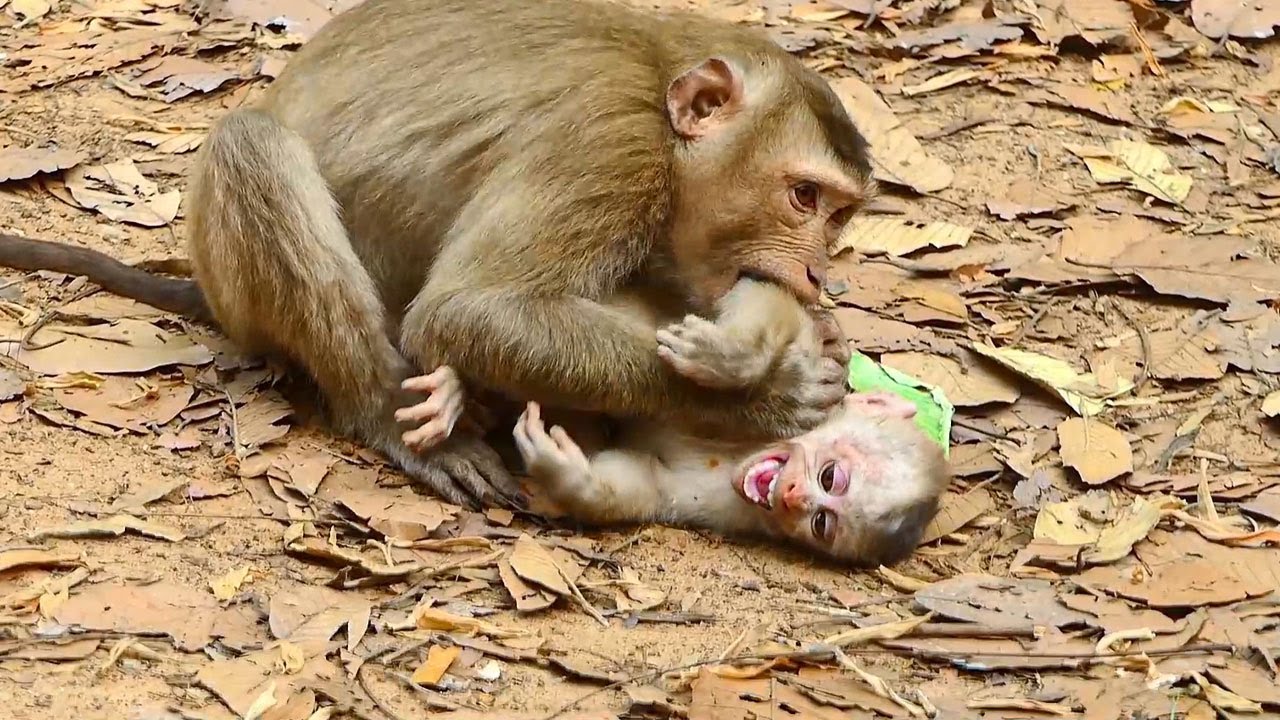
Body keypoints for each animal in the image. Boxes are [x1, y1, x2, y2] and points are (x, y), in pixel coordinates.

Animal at [0, 0, 875, 509]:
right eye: (803, 197)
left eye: (840, 214)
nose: (817, 275)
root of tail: (209, 290)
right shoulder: (610, 144)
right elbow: (472, 309)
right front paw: (763, 399)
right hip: (235, 273)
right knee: (253, 147)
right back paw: (393, 414)